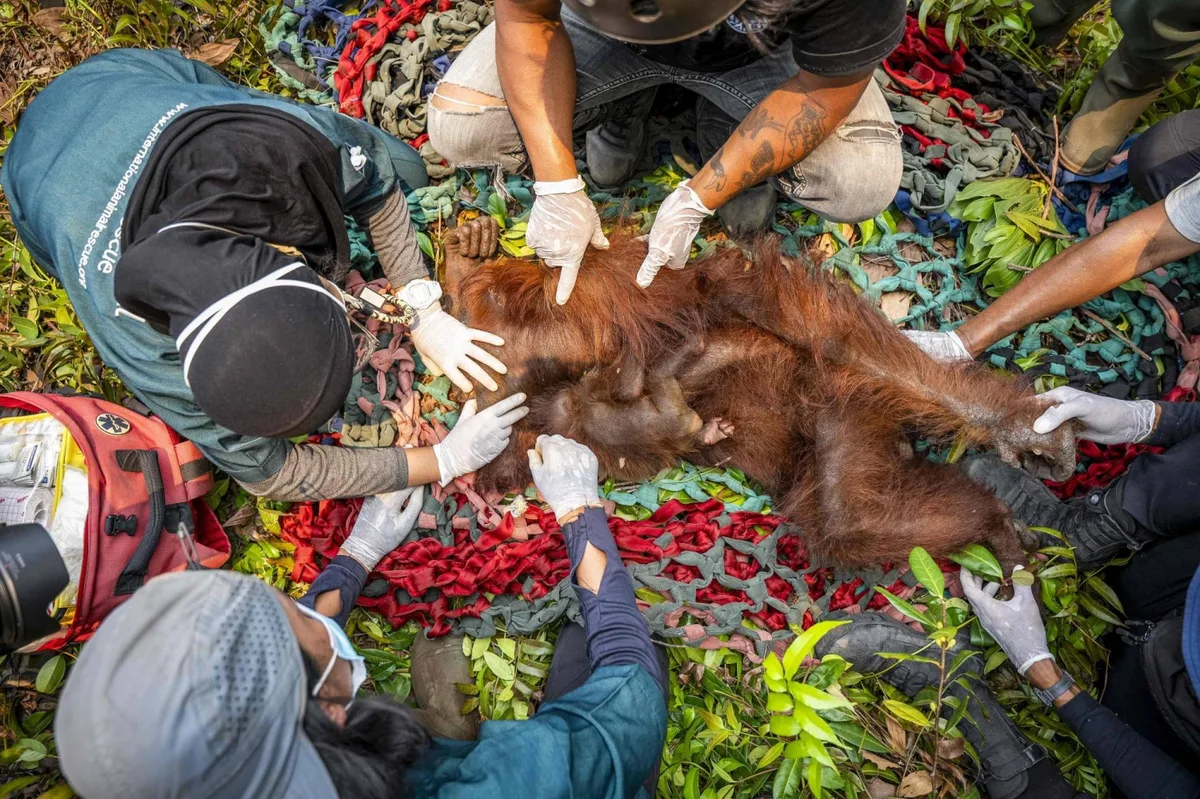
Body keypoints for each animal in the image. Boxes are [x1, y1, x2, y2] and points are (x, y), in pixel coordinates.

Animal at [438, 216, 1075, 570]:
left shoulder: (615, 298)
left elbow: (768, 310)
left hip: (836, 393)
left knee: (838, 359)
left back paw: (1001, 482)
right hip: (848, 421)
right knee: (854, 520)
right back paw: (993, 521)